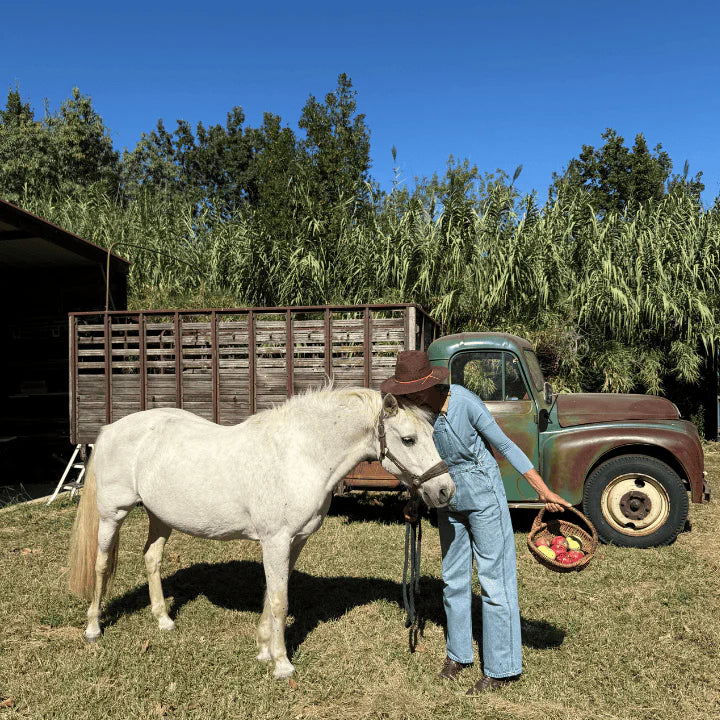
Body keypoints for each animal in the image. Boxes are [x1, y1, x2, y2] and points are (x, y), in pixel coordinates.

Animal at [68, 387, 455, 678]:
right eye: (408, 439)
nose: (444, 491)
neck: (301, 455)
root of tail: (109, 430)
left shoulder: (293, 542)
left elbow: (273, 594)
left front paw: (264, 649)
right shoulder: (276, 540)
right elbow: (281, 600)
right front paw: (282, 664)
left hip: (160, 516)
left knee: (151, 558)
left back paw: (164, 620)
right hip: (113, 514)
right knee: (101, 565)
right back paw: (93, 628)